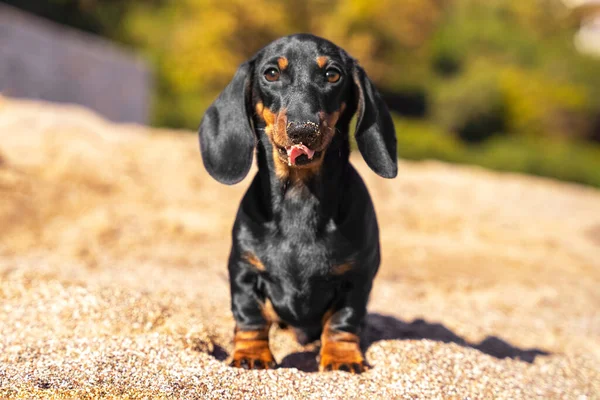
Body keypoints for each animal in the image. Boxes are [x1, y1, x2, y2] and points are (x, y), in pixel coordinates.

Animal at [198, 33, 398, 372]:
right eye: (271, 73)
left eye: (332, 74)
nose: (303, 129)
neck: (299, 198)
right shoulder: (244, 270)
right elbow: (250, 316)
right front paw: (252, 355)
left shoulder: (356, 278)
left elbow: (343, 320)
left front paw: (342, 358)